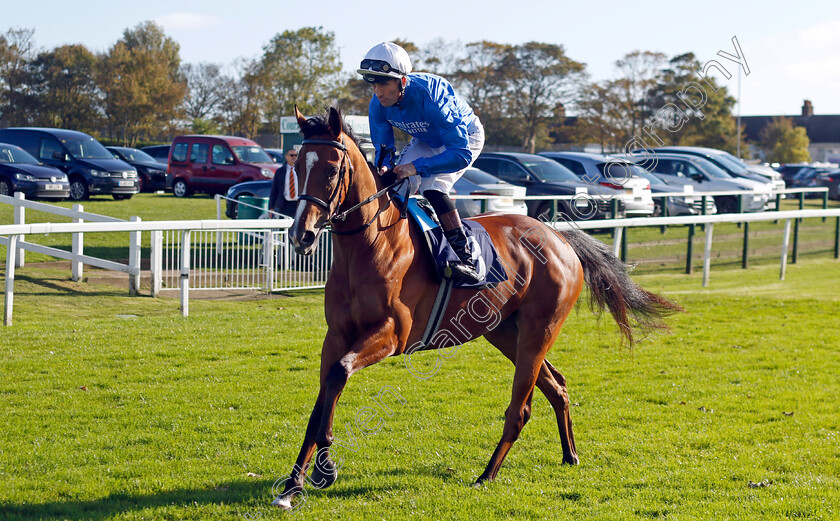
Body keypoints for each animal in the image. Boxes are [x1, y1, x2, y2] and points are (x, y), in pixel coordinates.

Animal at [272, 105, 680, 508]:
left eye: (331, 170)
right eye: (298, 166)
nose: (301, 234)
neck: (373, 244)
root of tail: (558, 236)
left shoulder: (391, 336)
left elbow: (339, 374)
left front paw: (325, 468)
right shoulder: (337, 335)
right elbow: (323, 396)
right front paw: (293, 486)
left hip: (538, 330)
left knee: (521, 409)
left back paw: (486, 475)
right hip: (504, 332)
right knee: (557, 387)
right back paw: (569, 455)